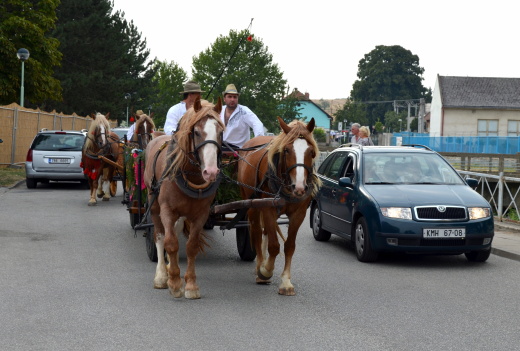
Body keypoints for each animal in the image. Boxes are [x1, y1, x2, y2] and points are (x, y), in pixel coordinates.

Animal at [143, 97, 224, 302]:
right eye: (196, 132)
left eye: (220, 132)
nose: (211, 172)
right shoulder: (167, 210)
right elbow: (171, 243)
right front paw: (173, 283)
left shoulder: (201, 214)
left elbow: (191, 247)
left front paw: (191, 285)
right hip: (153, 204)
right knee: (160, 236)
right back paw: (162, 275)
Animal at [237, 117, 318, 296]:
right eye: (286, 150)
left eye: (311, 151)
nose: (299, 187)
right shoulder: (268, 209)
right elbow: (274, 246)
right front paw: (265, 270)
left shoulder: (299, 214)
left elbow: (289, 246)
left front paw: (286, 281)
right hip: (251, 204)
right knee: (256, 232)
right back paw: (260, 265)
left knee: (266, 232)